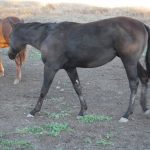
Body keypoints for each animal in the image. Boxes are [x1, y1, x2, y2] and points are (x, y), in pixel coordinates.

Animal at [7, 16, 150, 122]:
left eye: (9, 36)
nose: (10, 55)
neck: (47, 35)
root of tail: (141, 24)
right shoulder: (70, 68)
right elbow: (78, 87)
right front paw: (82, 111)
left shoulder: (50, 68)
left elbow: (44, 90)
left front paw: (34, 111)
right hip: (133, 61)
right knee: (144, 78)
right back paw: (145, 109)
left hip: (129, 61)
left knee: (134, 83)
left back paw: (126, 114)